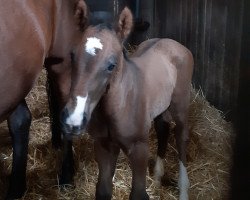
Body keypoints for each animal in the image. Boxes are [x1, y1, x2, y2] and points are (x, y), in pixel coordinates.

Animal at [60, 7, 193, 200]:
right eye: (72, 56)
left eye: (111, 65)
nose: (73, 120)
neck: (120, 104)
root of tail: (173, 43)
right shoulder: (104, 145)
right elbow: (103, 189)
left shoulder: (139, 149)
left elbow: (138, 193)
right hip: (161, 107)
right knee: (163, 130)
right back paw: (157, 179)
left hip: (180, 106)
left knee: (181, 136)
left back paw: (183, 190)